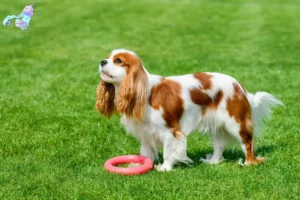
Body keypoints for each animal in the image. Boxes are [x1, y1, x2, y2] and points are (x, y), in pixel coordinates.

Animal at [96, 49, 284, 171]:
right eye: (107, 58)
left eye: (118, 61)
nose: (102, 61)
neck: (144, 92)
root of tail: (240, 87)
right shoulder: (146, 133)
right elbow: (146, 152)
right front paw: (139, 165)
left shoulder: (170, 131)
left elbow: (168, 151)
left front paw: (165, 168)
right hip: (217, 125)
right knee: (219, 145)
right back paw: (213, 161)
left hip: (235, 122)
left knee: (248, 142)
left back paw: (249, 163)